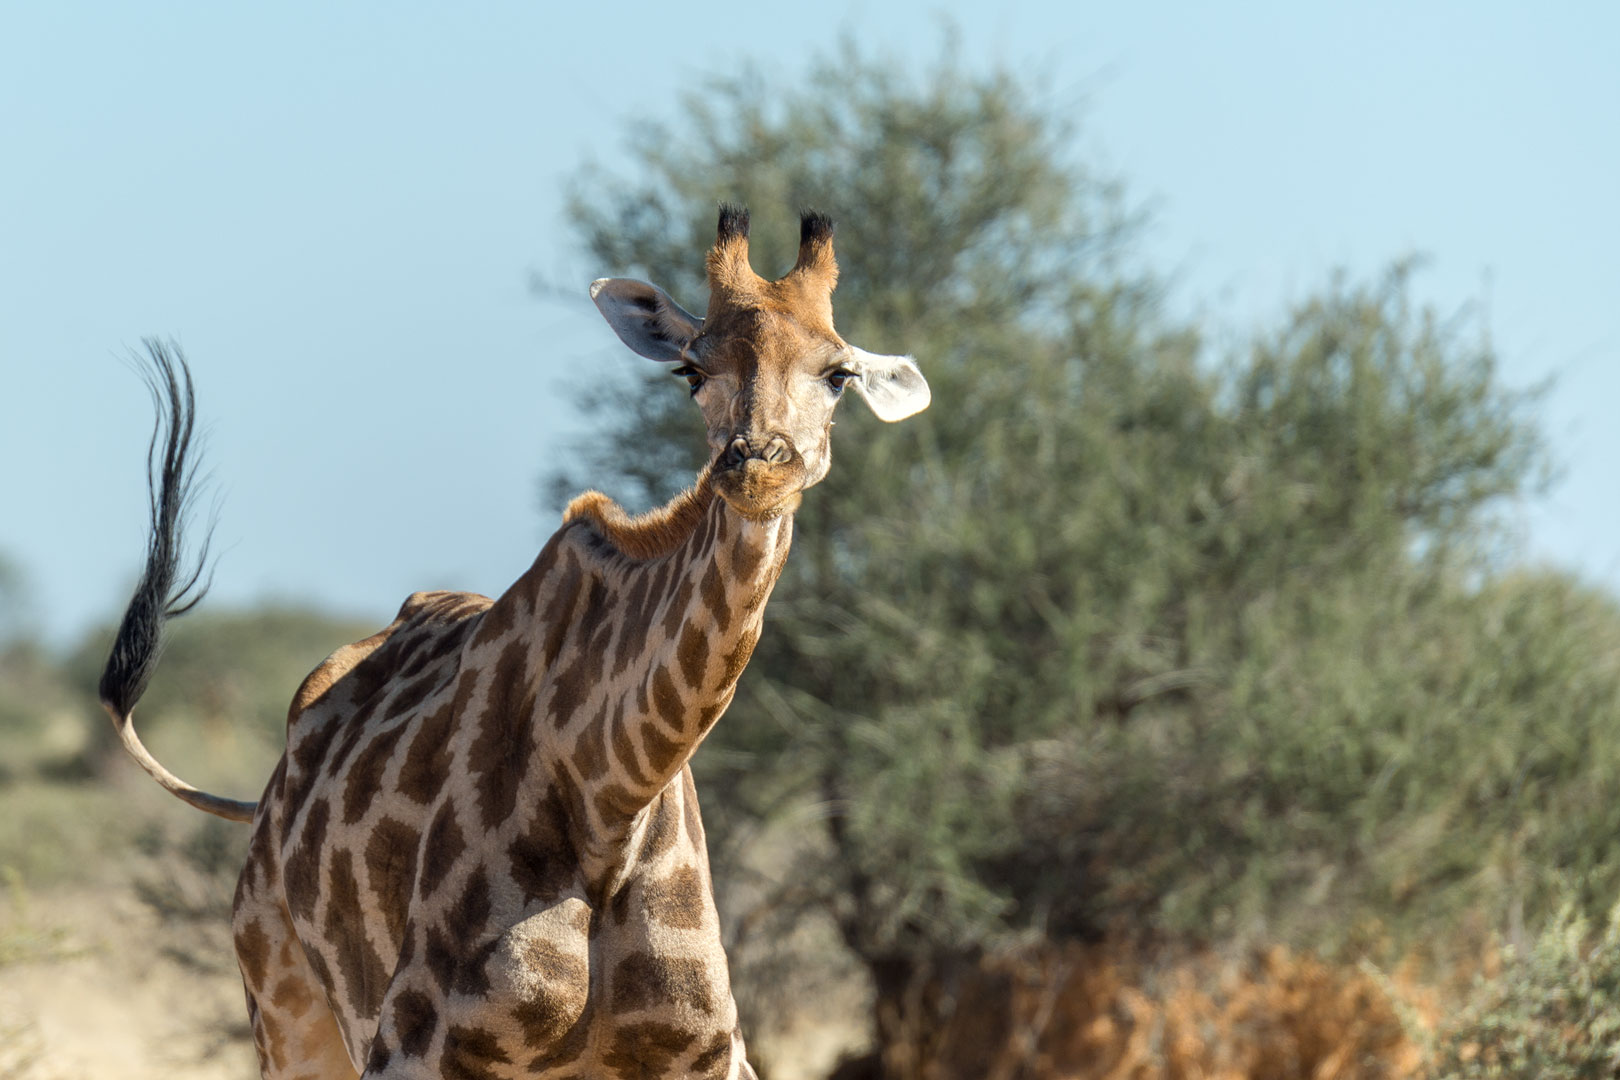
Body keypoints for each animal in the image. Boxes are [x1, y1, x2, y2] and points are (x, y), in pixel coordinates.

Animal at [101, 204, 933, 1080]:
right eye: (691, 370)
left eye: (838, 373)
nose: (759, 465)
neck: (613, 792)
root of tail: (264, 796)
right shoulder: (413, 1046)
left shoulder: (708, 1053)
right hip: (285, 1009)